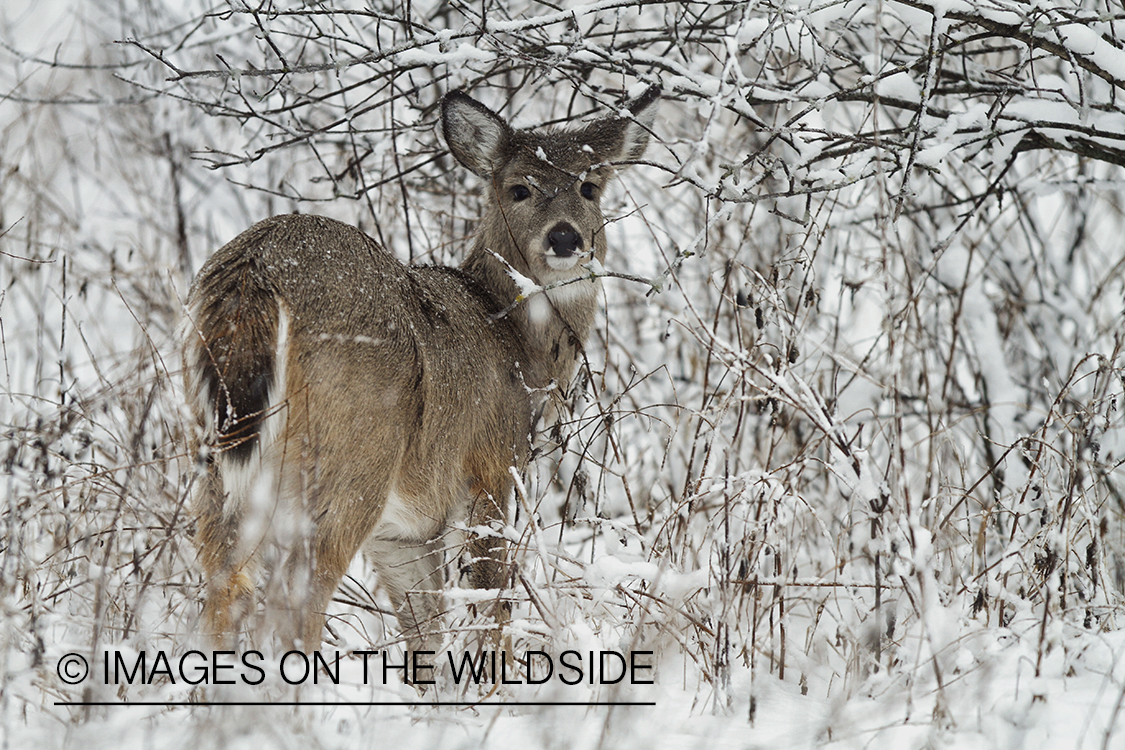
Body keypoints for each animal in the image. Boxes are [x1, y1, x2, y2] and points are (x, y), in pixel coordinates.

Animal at [182, 84, 657, 652]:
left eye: (589, 186)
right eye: (519, 189)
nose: (565, 238)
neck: (516, 346)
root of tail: (256, 267)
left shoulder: (403, 531)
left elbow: (424, 629)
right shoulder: (489, 467)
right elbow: (490, 605)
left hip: (218, 457)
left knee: (223, 581)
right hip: (353, 453)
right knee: (296, 600)